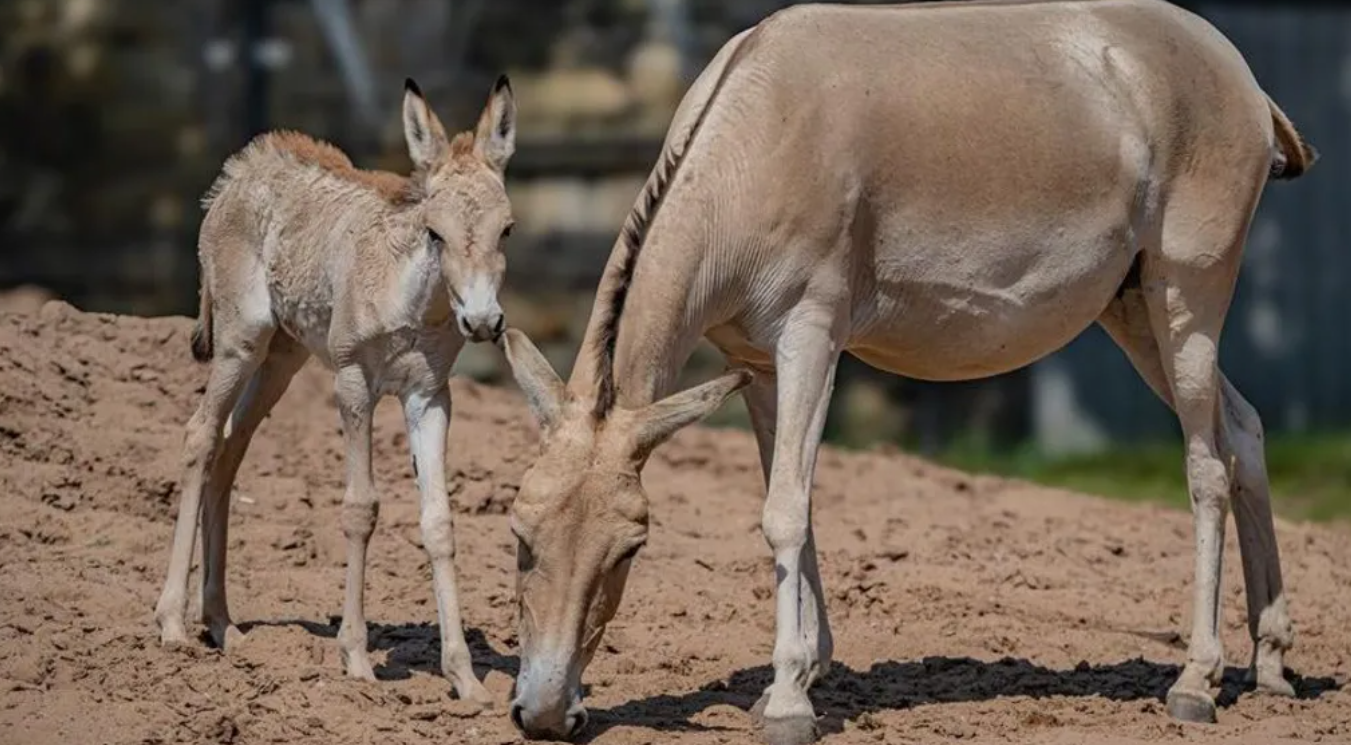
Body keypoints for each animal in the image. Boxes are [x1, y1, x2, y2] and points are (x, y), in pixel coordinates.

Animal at [153, 80, 516, 703]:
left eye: (506, 230)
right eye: (435, 232)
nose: (483, 322)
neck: (414, 303)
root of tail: (239, 171)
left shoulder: (429, 397)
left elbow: (439, 522)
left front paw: (465, 678)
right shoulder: (354, 384)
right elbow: (360, 507)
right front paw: (356, 658)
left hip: (282, 358)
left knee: (229, 448)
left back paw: (223, 625)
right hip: (241, 343)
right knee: (200, 434)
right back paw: (174, 622)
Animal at [494, 1, 1307, 740]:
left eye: (631, 546)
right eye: (519, 533)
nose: (543, 714)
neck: (755, 138)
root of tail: (1234, 67)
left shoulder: (810, 337)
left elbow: (784, 511)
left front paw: (788, 702)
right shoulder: (754, 363)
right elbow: (792, 502)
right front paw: (802, 671)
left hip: (1187, 301)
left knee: (1205, 466)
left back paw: (1195, 682)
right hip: (1133, 311)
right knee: (1244, 430)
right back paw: (1269, 663)